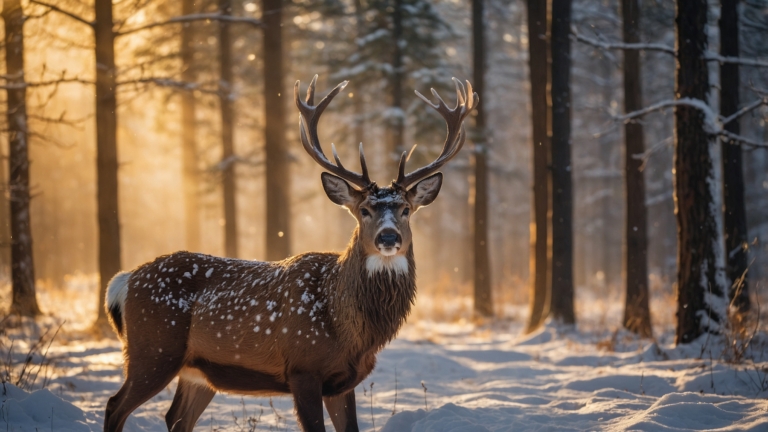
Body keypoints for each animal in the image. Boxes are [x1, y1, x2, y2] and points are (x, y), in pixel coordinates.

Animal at [102, 75, 477, 432]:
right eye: (364, 210)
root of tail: (124, 281)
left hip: (198, 372)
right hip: (153, 350)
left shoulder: (343, 382)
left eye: (406, 209)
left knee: (176, 418)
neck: (348, 329)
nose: (388, 236)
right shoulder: (303, 368)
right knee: (114, 405)